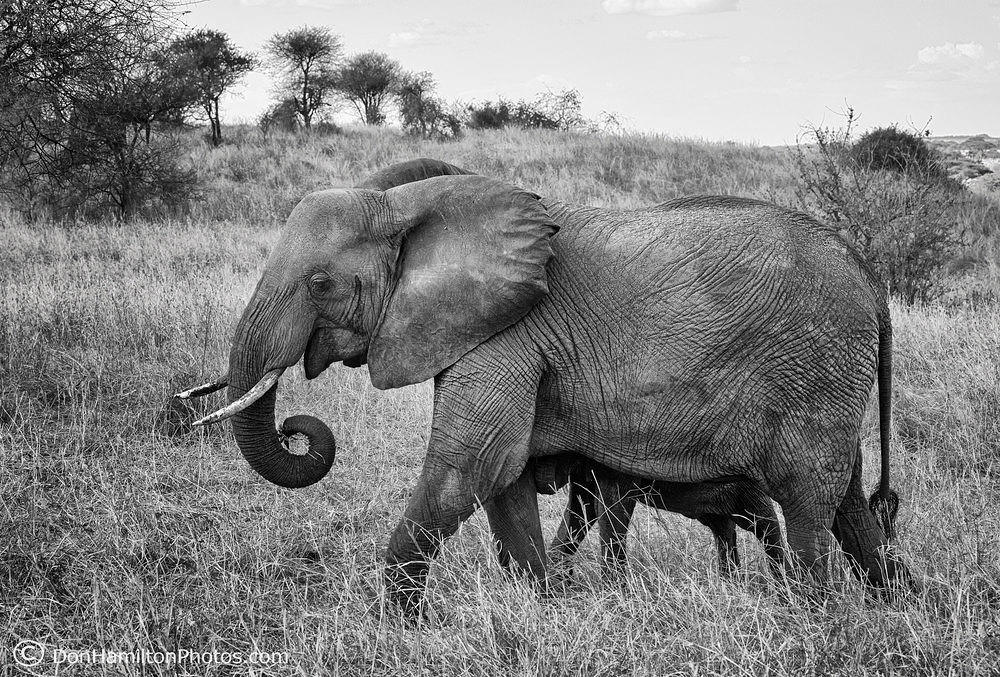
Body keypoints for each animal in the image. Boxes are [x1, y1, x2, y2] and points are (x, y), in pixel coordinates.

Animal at [528, 454, 785, 577]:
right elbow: (583, 504)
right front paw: (558, 579)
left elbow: (611, 500)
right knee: (723, 526)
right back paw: (731, 582)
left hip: (747, 485)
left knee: (762, 523)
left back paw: (784, 584)